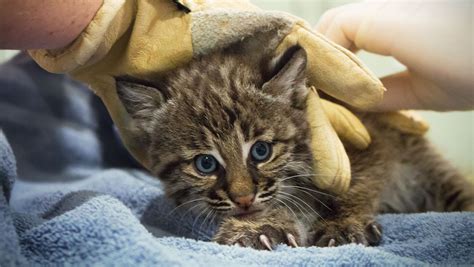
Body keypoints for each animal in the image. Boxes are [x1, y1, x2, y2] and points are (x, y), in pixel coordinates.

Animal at [115, 45, 474, 250]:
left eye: (261, 151)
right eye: (205, 164)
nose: (243, 199)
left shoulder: (365, 141)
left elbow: (353, 186)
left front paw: (342, 225)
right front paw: (255, 226)